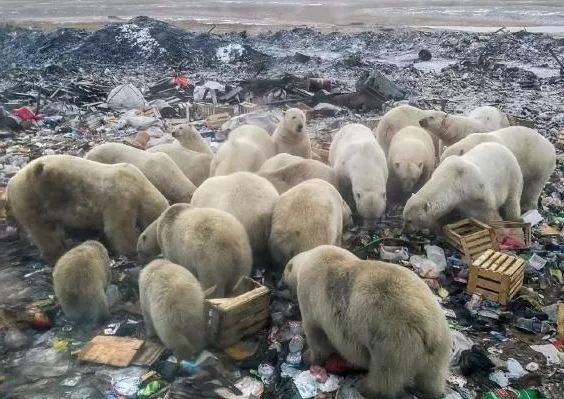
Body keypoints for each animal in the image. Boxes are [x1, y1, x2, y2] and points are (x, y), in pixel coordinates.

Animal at [7, 155, 167, 264]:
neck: (140, 185)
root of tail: (11, 183)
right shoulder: (121, 198)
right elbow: (118, 228)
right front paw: (133, 250)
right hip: (32, 198)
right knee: (44, 232)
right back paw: (57, 254)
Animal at [284, 245, 452, 399]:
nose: (280, 284)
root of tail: (428, 330)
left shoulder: (311, 297)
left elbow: (317, 336)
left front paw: (308, 357)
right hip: (439, 346)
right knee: (433, 375)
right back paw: (434, 391)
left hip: (394, 343)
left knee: (385, 375)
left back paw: (365, 388)